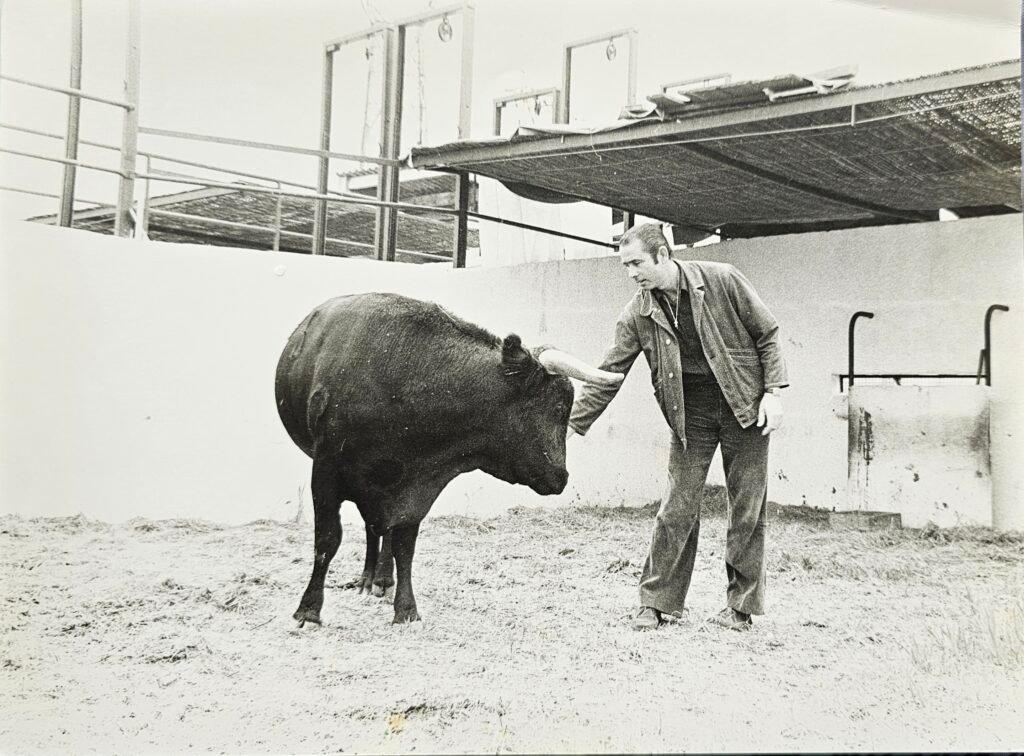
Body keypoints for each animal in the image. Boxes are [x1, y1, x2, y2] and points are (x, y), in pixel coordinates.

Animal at [275, 292, 623, 625]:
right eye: (559, 408)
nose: (561, 476)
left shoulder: (416, 487)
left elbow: (403, 544)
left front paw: (406, 609)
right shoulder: (326, 470)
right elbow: (328, 539)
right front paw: (308, 610)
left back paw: (381, 579)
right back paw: (367, 579)